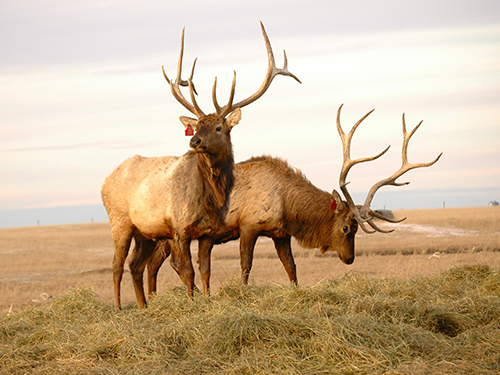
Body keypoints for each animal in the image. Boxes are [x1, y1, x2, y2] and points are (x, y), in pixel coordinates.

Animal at [99, 22, 298, 310]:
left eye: (218, 127)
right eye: (197, 126)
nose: (194, 141)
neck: (207, 200)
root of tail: (104, 182)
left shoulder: (208, 232)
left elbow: (205, 270)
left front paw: (206, 299)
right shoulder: (179, 228)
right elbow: (188, 270)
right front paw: (192, 303)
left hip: (144, 231)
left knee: (135, 265)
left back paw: (143, 306)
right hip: (120, 220)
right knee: (117, 266)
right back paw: (117, 308)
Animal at [145, 103, 442, 294]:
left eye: (358, 228)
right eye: (347, 227)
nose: (349, 259)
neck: (288, 205)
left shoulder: (280, 233)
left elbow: (291, 267)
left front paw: (296, 291)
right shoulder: (248, 225)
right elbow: (246, 265)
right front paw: (242, 293)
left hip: (163, 236)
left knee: (153, 264)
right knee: (170, 263)